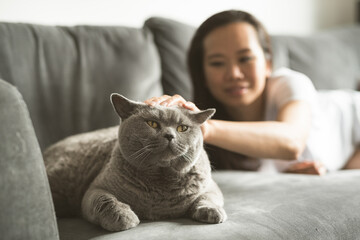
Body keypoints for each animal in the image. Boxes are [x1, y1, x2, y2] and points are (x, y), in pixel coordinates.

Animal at [43, 93, 226, 231]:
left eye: (182, 128)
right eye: (152, 123)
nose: (169, 135)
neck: (161, 183)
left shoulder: (210, 186)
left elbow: (207, 197)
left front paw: (213, 212)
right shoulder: (95, 189)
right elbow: (105, 200)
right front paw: (124, 218)